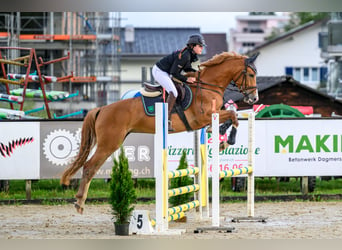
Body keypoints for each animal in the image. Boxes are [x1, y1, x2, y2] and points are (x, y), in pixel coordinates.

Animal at [61, 51, 260, 214]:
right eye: (251, 74)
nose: (254, 98)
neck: (208, 85)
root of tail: (101, 109)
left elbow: (232, 115)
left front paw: (222, 135)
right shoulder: (203, 116)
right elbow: (232, 115)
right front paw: (226, 138)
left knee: (91, 167)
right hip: (109, 143)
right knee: (89, 167)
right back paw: (79, 203)